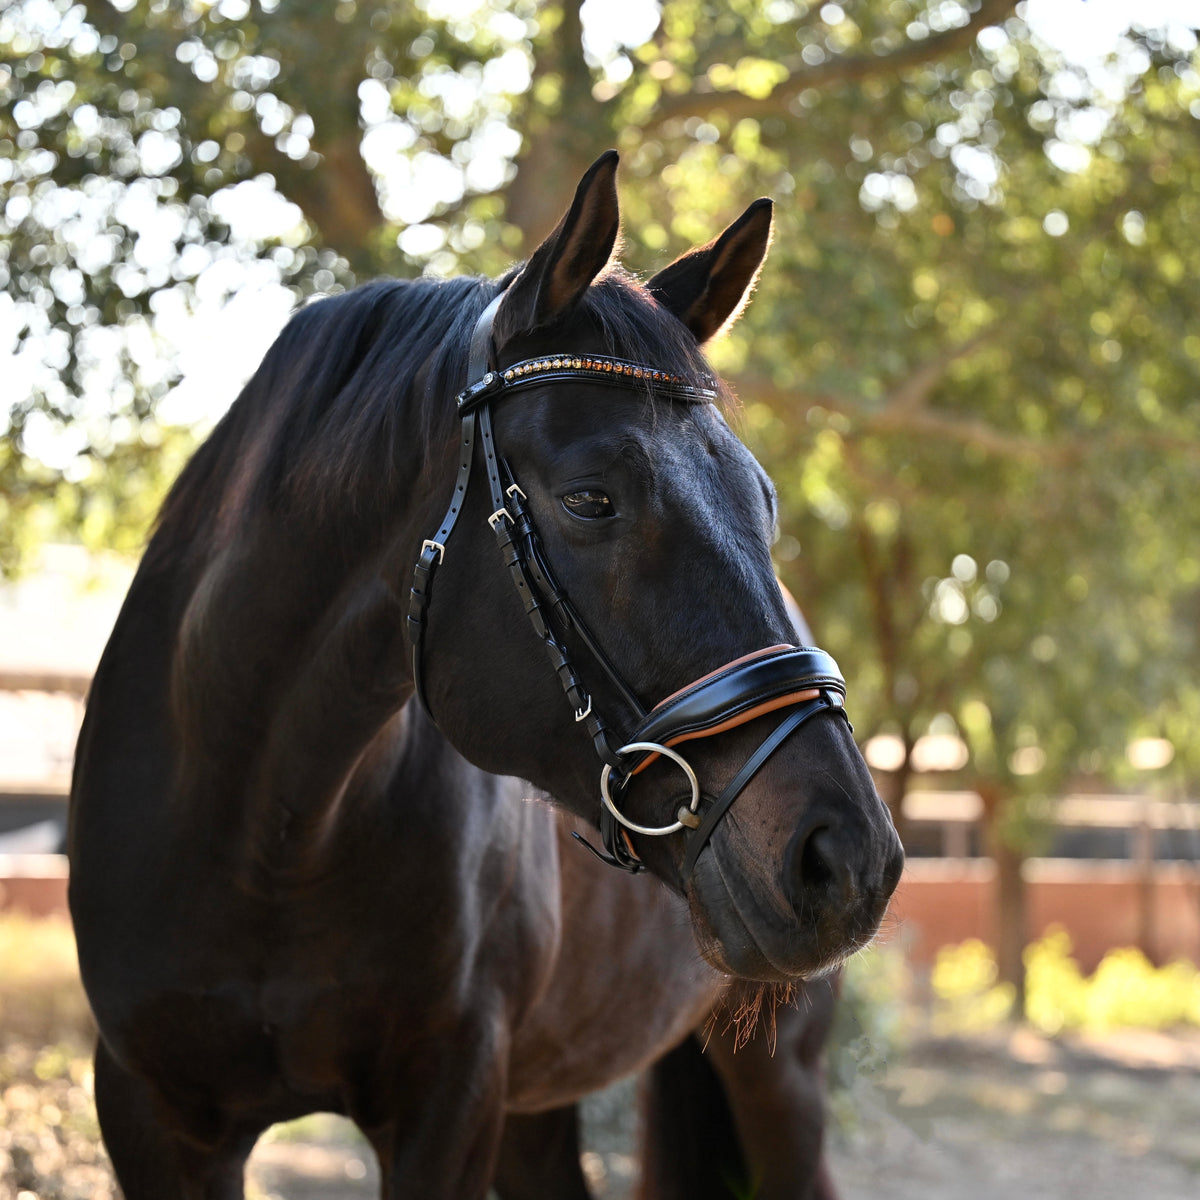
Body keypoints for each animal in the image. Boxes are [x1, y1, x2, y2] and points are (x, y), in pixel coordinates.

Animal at [68, 154, 902, 1195]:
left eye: (764, 499)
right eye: (591, 500)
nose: (850, 860)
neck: (268, 835)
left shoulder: (452, 1101)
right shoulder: (153, 1114)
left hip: (778, 1071)